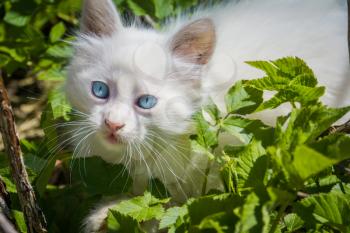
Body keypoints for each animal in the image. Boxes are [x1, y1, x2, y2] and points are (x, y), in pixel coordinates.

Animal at [65, 0, 348, 231]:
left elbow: (170, 208)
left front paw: (109, 213)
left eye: (146, 102)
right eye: (100, 90)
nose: (113, 124)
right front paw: (104, 213)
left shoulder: (211, 182)